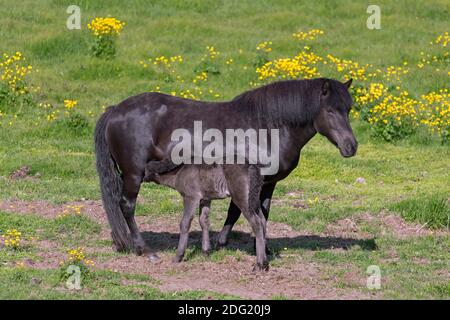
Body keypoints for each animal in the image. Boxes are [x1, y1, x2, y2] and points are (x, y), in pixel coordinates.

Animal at [95, 77, 358, 270]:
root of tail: (115, 110)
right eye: (330, 111)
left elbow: (261, 213)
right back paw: (145, 250)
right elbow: (238, 211)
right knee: (127, 206)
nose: (351, 147)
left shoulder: (267, 183)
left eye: (348, 109)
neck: (266, 127)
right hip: (133, 174)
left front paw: (260, 249)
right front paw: (223, 243)